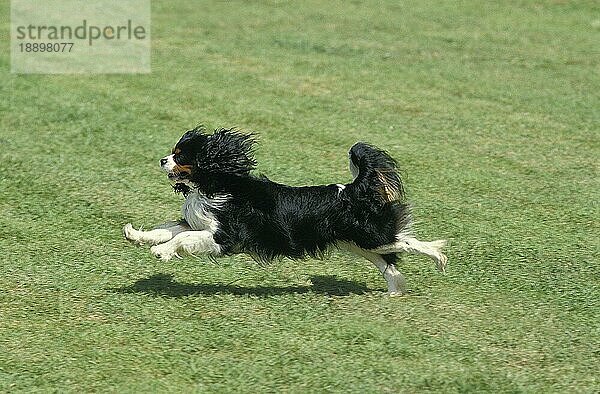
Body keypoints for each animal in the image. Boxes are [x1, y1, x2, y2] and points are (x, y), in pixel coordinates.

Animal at [124, 125, 448, 292]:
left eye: (180, 156)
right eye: (172, 153)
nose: (162, 160)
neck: (215, 183)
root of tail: (351, 190)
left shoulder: (224, 236)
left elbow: (180, 238)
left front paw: (161, 252)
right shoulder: (197, 223)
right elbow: (168, 228)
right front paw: (136, 236)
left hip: (371, 236)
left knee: (407, 241)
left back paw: (439, 258)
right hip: (356, 243)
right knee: (389, 263)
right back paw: (395, 291)